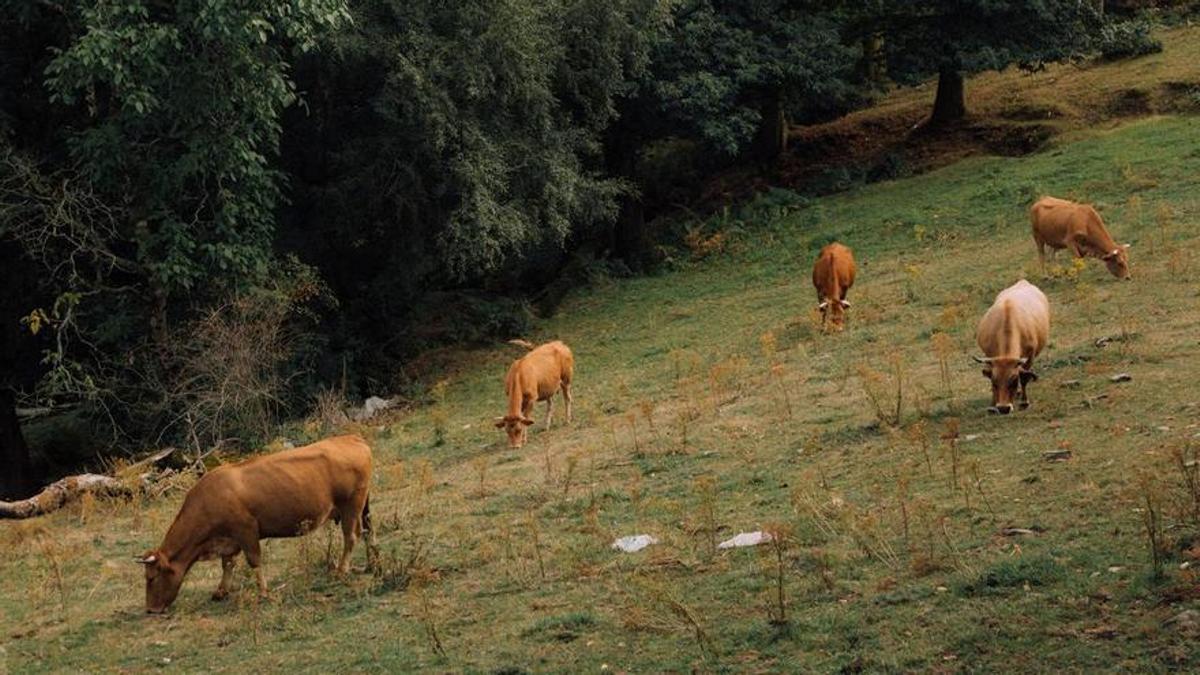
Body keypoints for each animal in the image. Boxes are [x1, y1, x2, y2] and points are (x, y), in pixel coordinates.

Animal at [136, 435, 373, 613]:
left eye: (151, 578)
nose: (150, 610)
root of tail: (351, 437)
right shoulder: (229, 539)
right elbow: (227, 564)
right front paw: (221, 591)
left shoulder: (246, 530)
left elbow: (254, 561)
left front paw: (263, 592)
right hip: (362, 507)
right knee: (368, 531)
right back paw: (370, 565)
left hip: (351, 505)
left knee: (351, 537)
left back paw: (342, 570)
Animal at [973, 280, 1050, 415]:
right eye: (994, 382)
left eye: (1013, 381)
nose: (1004, 408)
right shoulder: (989, 357)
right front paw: (992, 406)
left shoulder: (1029, 357)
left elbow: (1024, 378)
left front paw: (1024, 402)